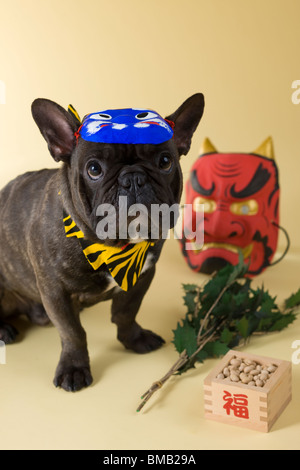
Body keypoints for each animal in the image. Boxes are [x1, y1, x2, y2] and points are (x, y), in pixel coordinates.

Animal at [0, 93, 204, 392]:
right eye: (94, 169)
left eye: (165, 161)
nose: (133, 177)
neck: (113, 245)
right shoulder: (54, 291)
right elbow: (73, 332)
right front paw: (74, 368)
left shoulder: (143, 276)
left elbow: (126, 311)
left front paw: (134, 339)